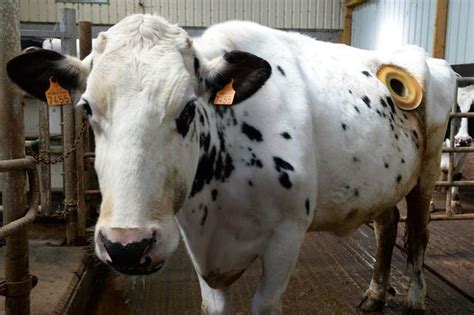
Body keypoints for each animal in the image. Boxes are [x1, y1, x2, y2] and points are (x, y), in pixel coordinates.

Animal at [8, 14, 456, 314]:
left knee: (418, 234)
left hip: (429, 168)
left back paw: (415, 299)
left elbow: (265, 304)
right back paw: (376, 293)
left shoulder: (287, 235)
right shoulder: (198, 245)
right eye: (86, 109)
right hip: (386, 179)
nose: (127, 246)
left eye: (189, 109)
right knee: (387, 225)